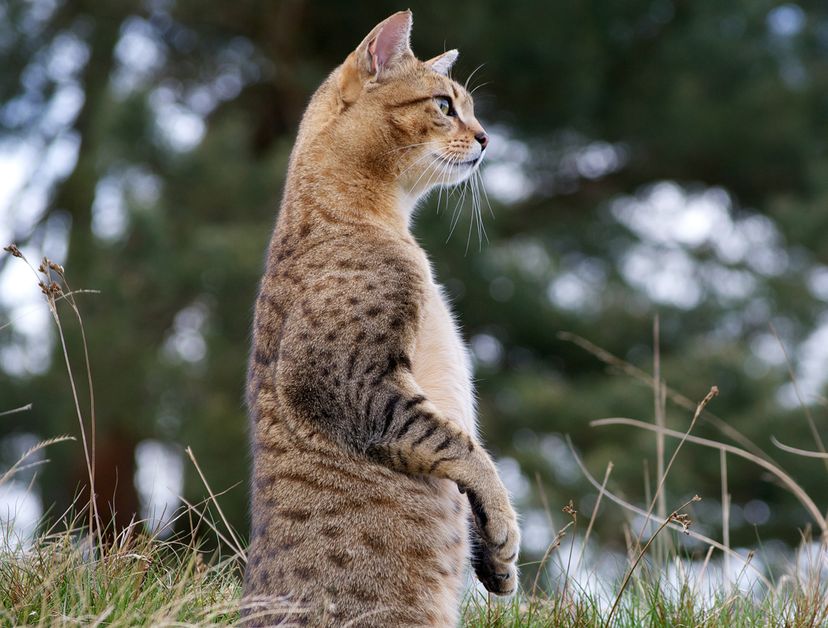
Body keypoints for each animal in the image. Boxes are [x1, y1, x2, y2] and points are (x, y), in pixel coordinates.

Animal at [243, 9, 520, 628]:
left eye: (469, 106)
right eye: (445, 104)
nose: (487, 137)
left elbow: (461, 444)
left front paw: (495, 562)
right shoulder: (354, 381)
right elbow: (461, 447)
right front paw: (504, 525)